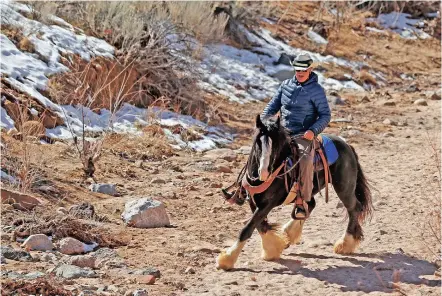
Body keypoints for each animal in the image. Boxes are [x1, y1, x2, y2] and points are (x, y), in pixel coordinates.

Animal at [216, 115, 372, 270]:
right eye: (258, 143)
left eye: (276, 146)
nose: (264, 173)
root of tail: (347, 146)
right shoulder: (253, 201)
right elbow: (260, 225)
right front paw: (272, 248)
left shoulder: (268, 203)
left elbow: (248, 228)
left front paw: (227, 259)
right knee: (310, 206)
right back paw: (288, 234)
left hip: (344, 188)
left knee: (353, 208)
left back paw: (345, 243)